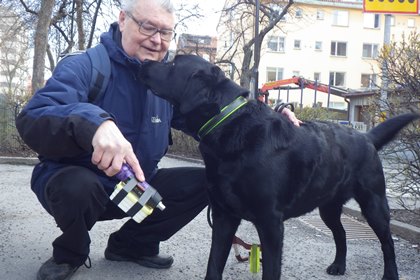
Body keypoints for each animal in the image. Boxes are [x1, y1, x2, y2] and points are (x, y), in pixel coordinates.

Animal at [139, 55, 420, 280]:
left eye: (172, 63)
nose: (144, 62)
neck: (229, 123)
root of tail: (366, 136)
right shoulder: (223, 215)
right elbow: (214, 265)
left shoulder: (271, 223)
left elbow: (271, 271)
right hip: (328, 206)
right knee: (340, 234)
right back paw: (338, 266)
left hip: (374, 204)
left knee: (387, 244)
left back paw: (390, 274)